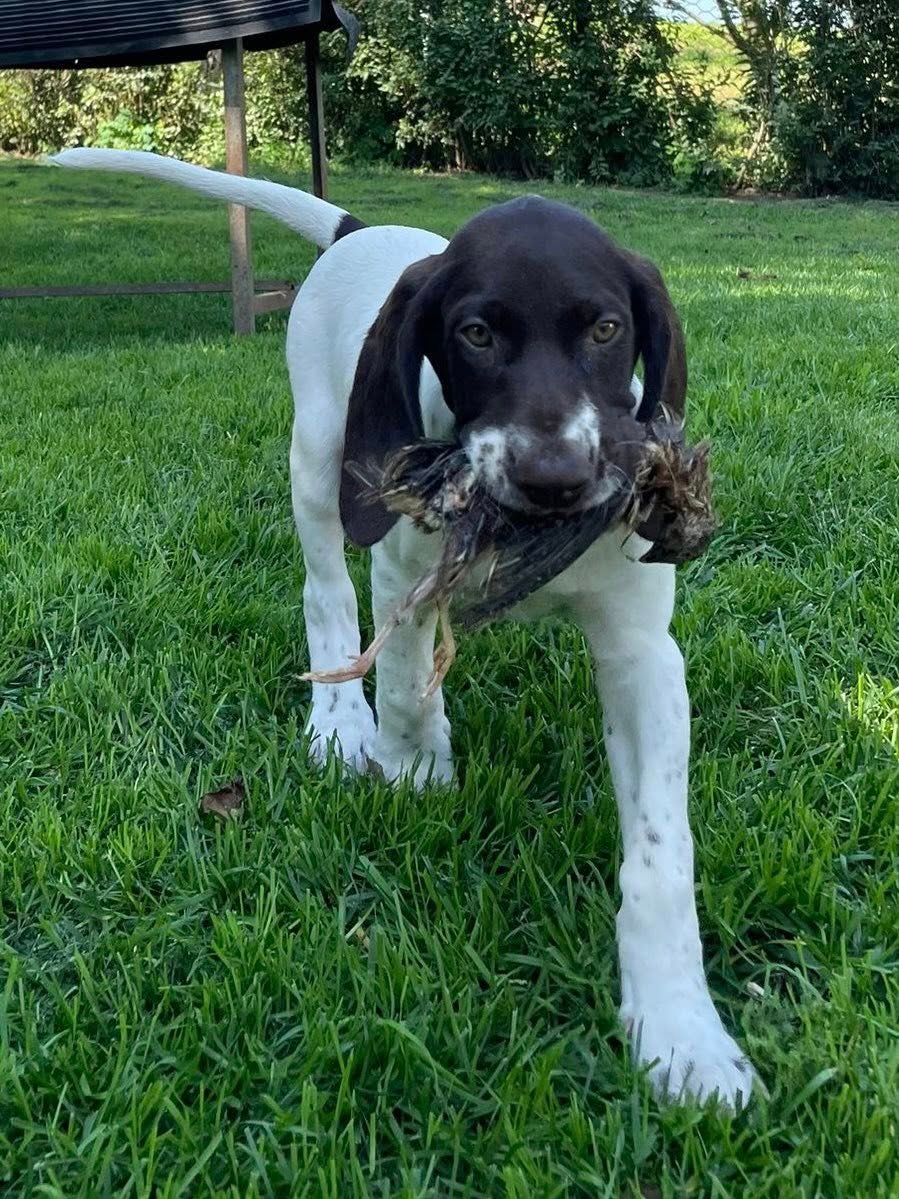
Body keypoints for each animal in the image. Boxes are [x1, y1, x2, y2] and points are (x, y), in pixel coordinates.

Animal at [51, 149, 756, 1107]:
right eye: (476, 334)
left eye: (607, 329)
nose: (553, 482)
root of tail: (362, 231)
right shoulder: (405, 568)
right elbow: (405, 678)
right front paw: (414, 764)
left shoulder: (642, 652)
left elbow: (659, 855)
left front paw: (682, 1030)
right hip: (319, 464)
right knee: (325, 598)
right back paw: (340, 723)